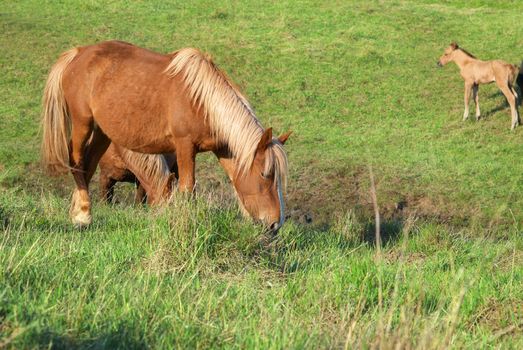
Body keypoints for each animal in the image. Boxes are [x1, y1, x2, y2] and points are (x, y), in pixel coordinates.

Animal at [42, 40, 290, 232]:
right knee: (76, 162)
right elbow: (188, 189)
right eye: (265, 174)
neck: (202, 101)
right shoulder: (184, 146)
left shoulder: (222, 151)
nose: (275, 224)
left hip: (103, 133)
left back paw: (77, 214)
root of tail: (78, 53)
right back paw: (83, 215)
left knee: (89, 165)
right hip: (83, 123)